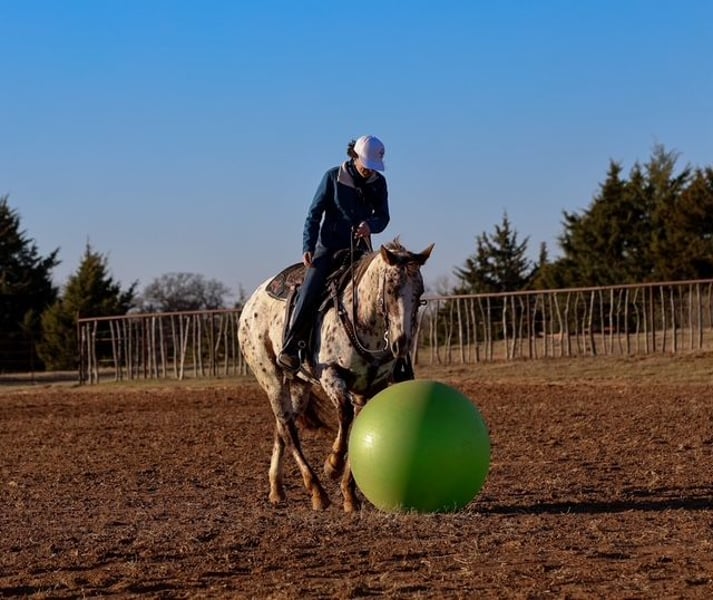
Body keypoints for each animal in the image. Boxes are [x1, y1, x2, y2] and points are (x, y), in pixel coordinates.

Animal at [238, 238, 434, 512]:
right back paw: (317, 491)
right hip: (271, 378)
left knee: (282, 427)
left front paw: (349, 495)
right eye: (391, 288)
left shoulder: (370, 387)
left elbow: (360, 425)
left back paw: (277, 489)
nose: (401, 344)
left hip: (299, 385)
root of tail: (250, 303)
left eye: (419, 292)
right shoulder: (331, 374)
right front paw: (332, 465)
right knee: (288, 428)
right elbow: (344, 413)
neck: (362, 319)